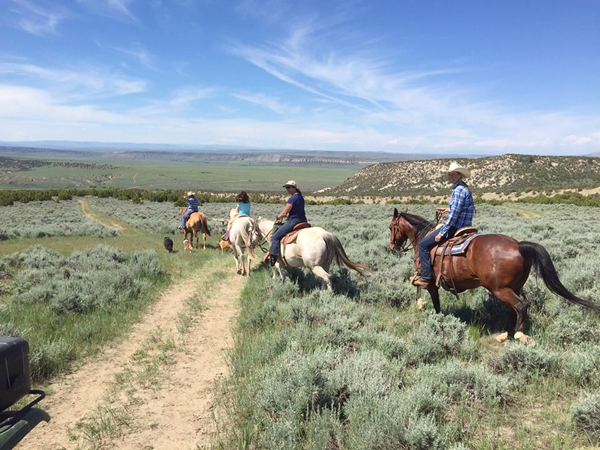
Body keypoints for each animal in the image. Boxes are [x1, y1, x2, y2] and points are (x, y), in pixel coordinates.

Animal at [390, 207, 600, 342]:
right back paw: (505, 333)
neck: (423, 238)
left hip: (499, 289)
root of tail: (519, 245)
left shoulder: (430, 281)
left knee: (520, 306)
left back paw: (517, 335)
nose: (393, 247)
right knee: (516, 308)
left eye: (392, 227)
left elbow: (425, 293)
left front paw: (424, 308)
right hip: (513, 287)